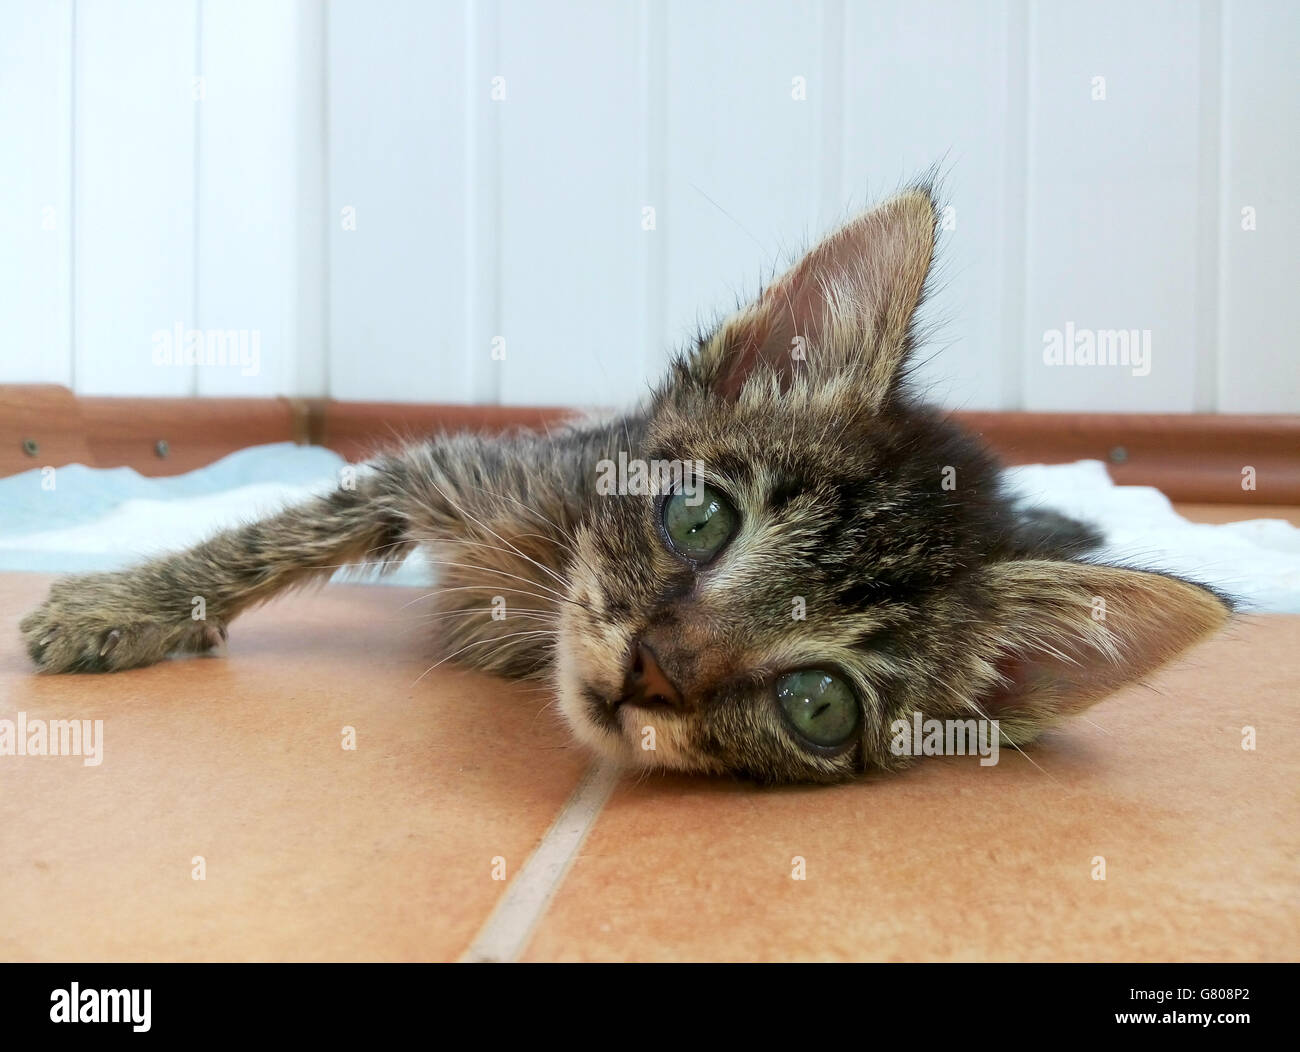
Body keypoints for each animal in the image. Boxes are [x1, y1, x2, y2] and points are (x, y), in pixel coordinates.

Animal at [17, 187, 1227, 780]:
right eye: (697, 516)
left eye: (819, 703)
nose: (652, 667)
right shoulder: (462, 473)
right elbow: (275, 537)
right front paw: (117, 603)